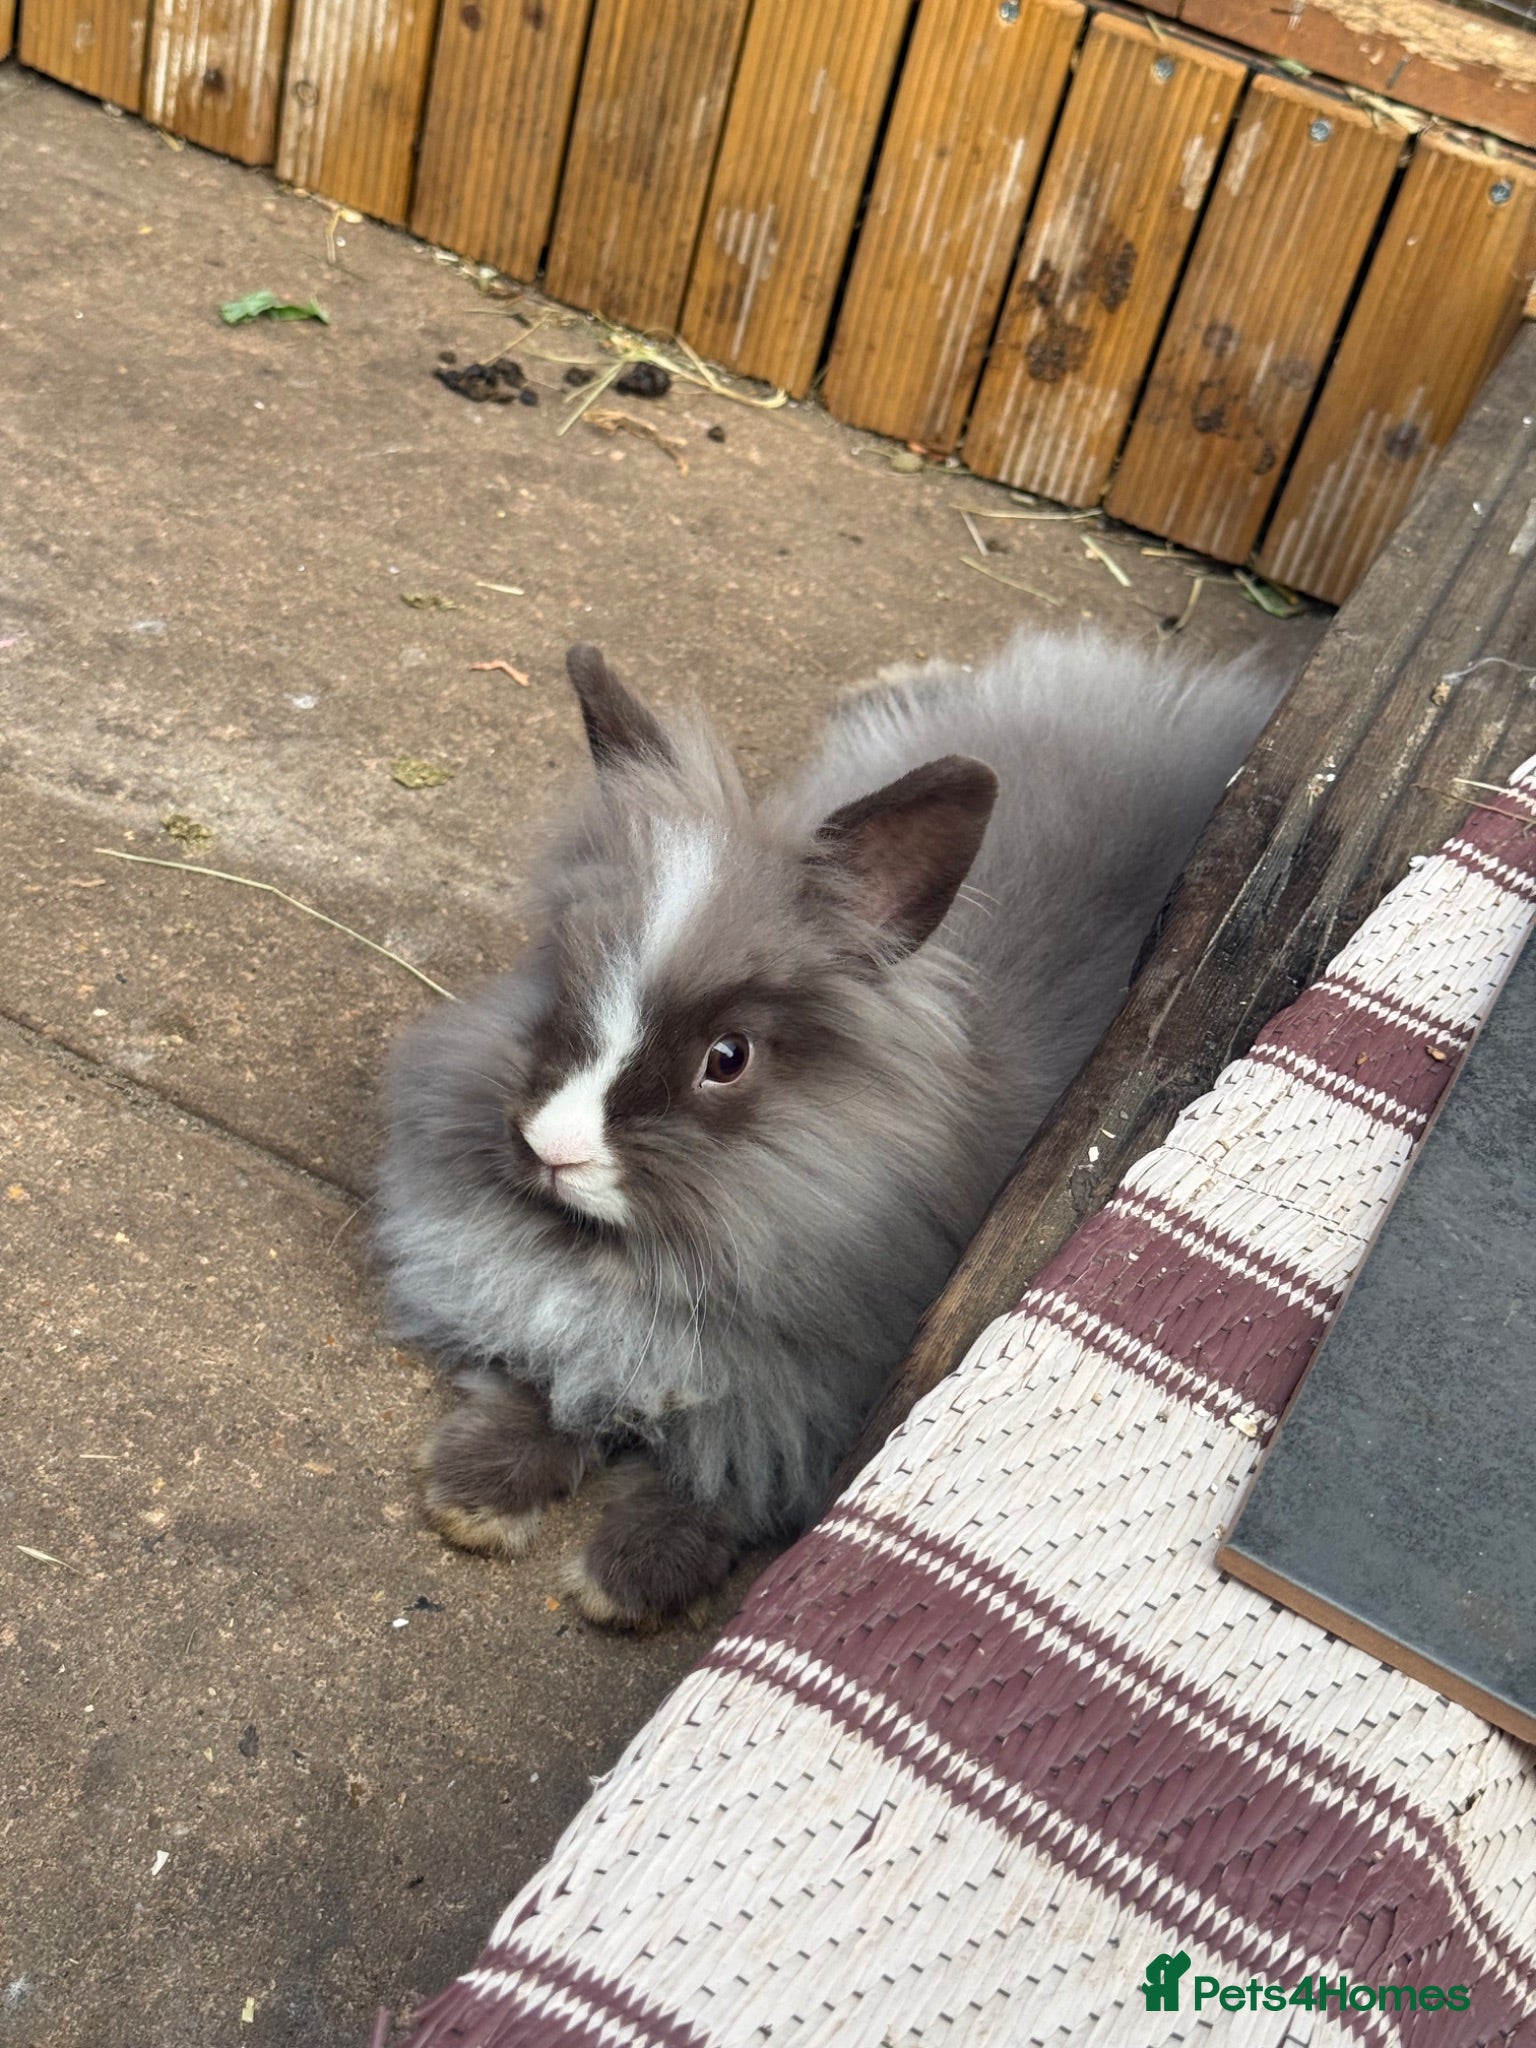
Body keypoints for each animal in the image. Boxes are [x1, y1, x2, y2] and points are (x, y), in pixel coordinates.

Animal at [376, 632, 1284, 1627]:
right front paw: (473, 1496)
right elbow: (542, 1380)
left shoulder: (802, 1409)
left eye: (728, 1058)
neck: (633, 1271)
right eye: (562, 984)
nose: (550, 1148)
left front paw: (625, 1580)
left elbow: (724, 1483)